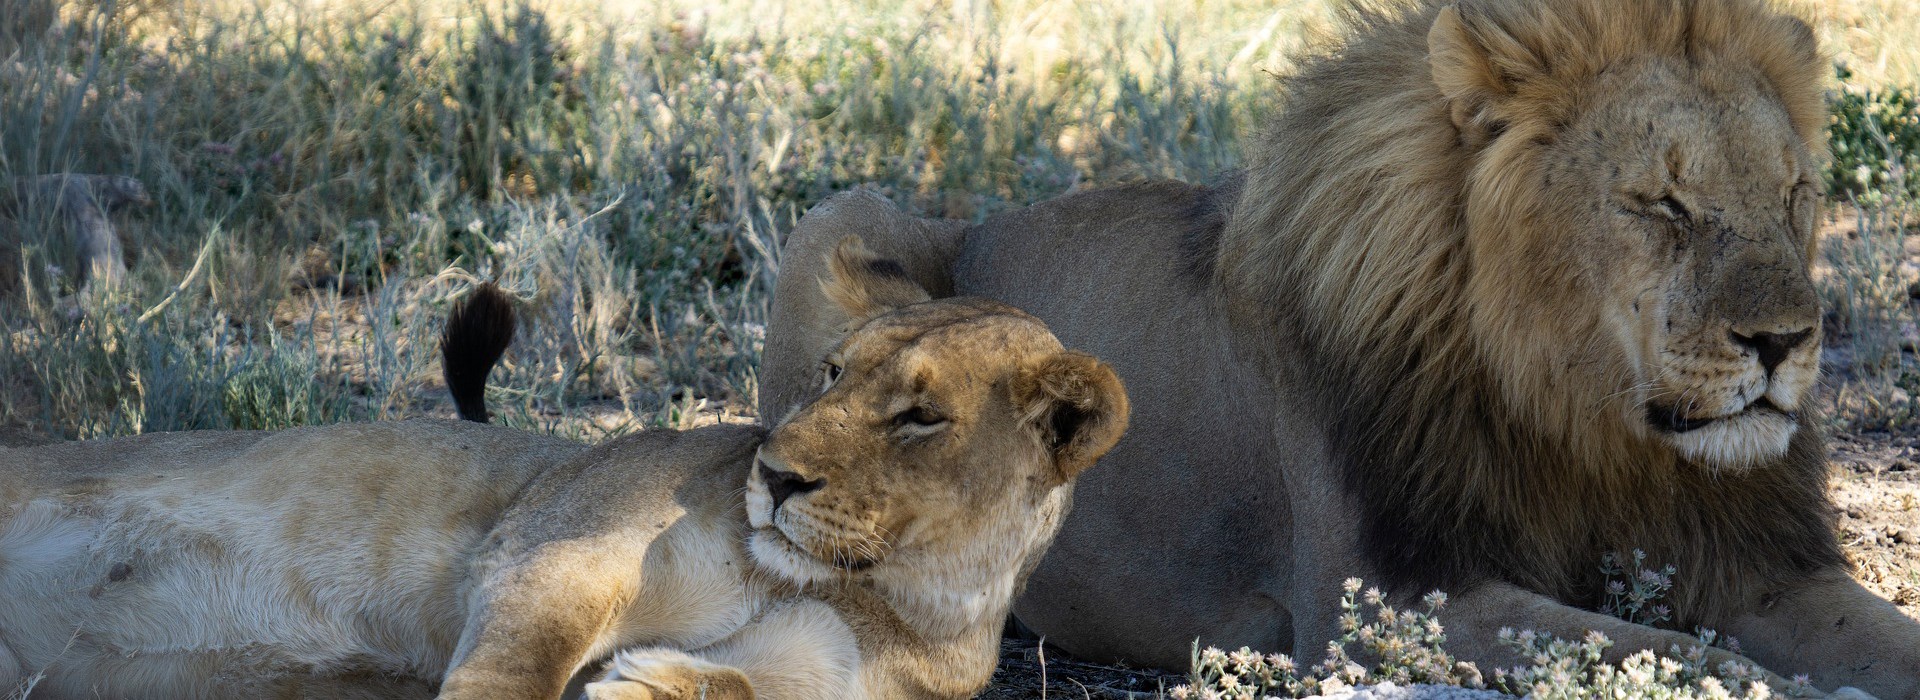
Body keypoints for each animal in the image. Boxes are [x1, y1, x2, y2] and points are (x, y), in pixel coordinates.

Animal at [0, 236, 1121, 694]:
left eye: (922, 416)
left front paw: (646, 684)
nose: (774, 476)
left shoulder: (823, 675)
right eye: (831, 375)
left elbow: (734, 683)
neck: (893, 591)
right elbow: (518, 667)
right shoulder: (564, 548)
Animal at [760, 0, 1920, 694]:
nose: (1786, 342)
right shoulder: (1389, 603)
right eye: (1662, 203)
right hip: (839, 214)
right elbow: (1687, 661)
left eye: (1794, 194)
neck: (1584, 420)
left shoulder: (1761, 569)